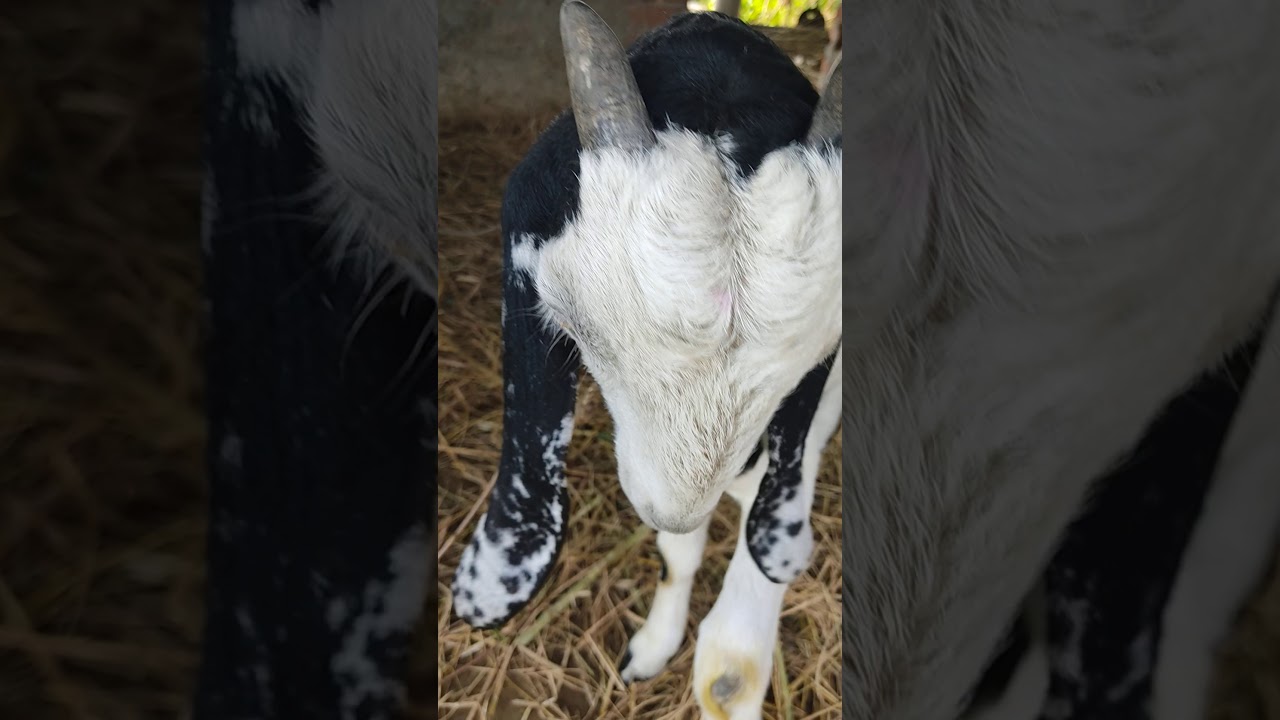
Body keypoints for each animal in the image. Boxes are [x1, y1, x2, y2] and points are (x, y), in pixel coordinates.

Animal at [450, 4, 841, 719]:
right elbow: (678, 551)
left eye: (810, 363)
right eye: (572, 327)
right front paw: (655, 644)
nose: (668, 507)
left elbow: (731, 662)